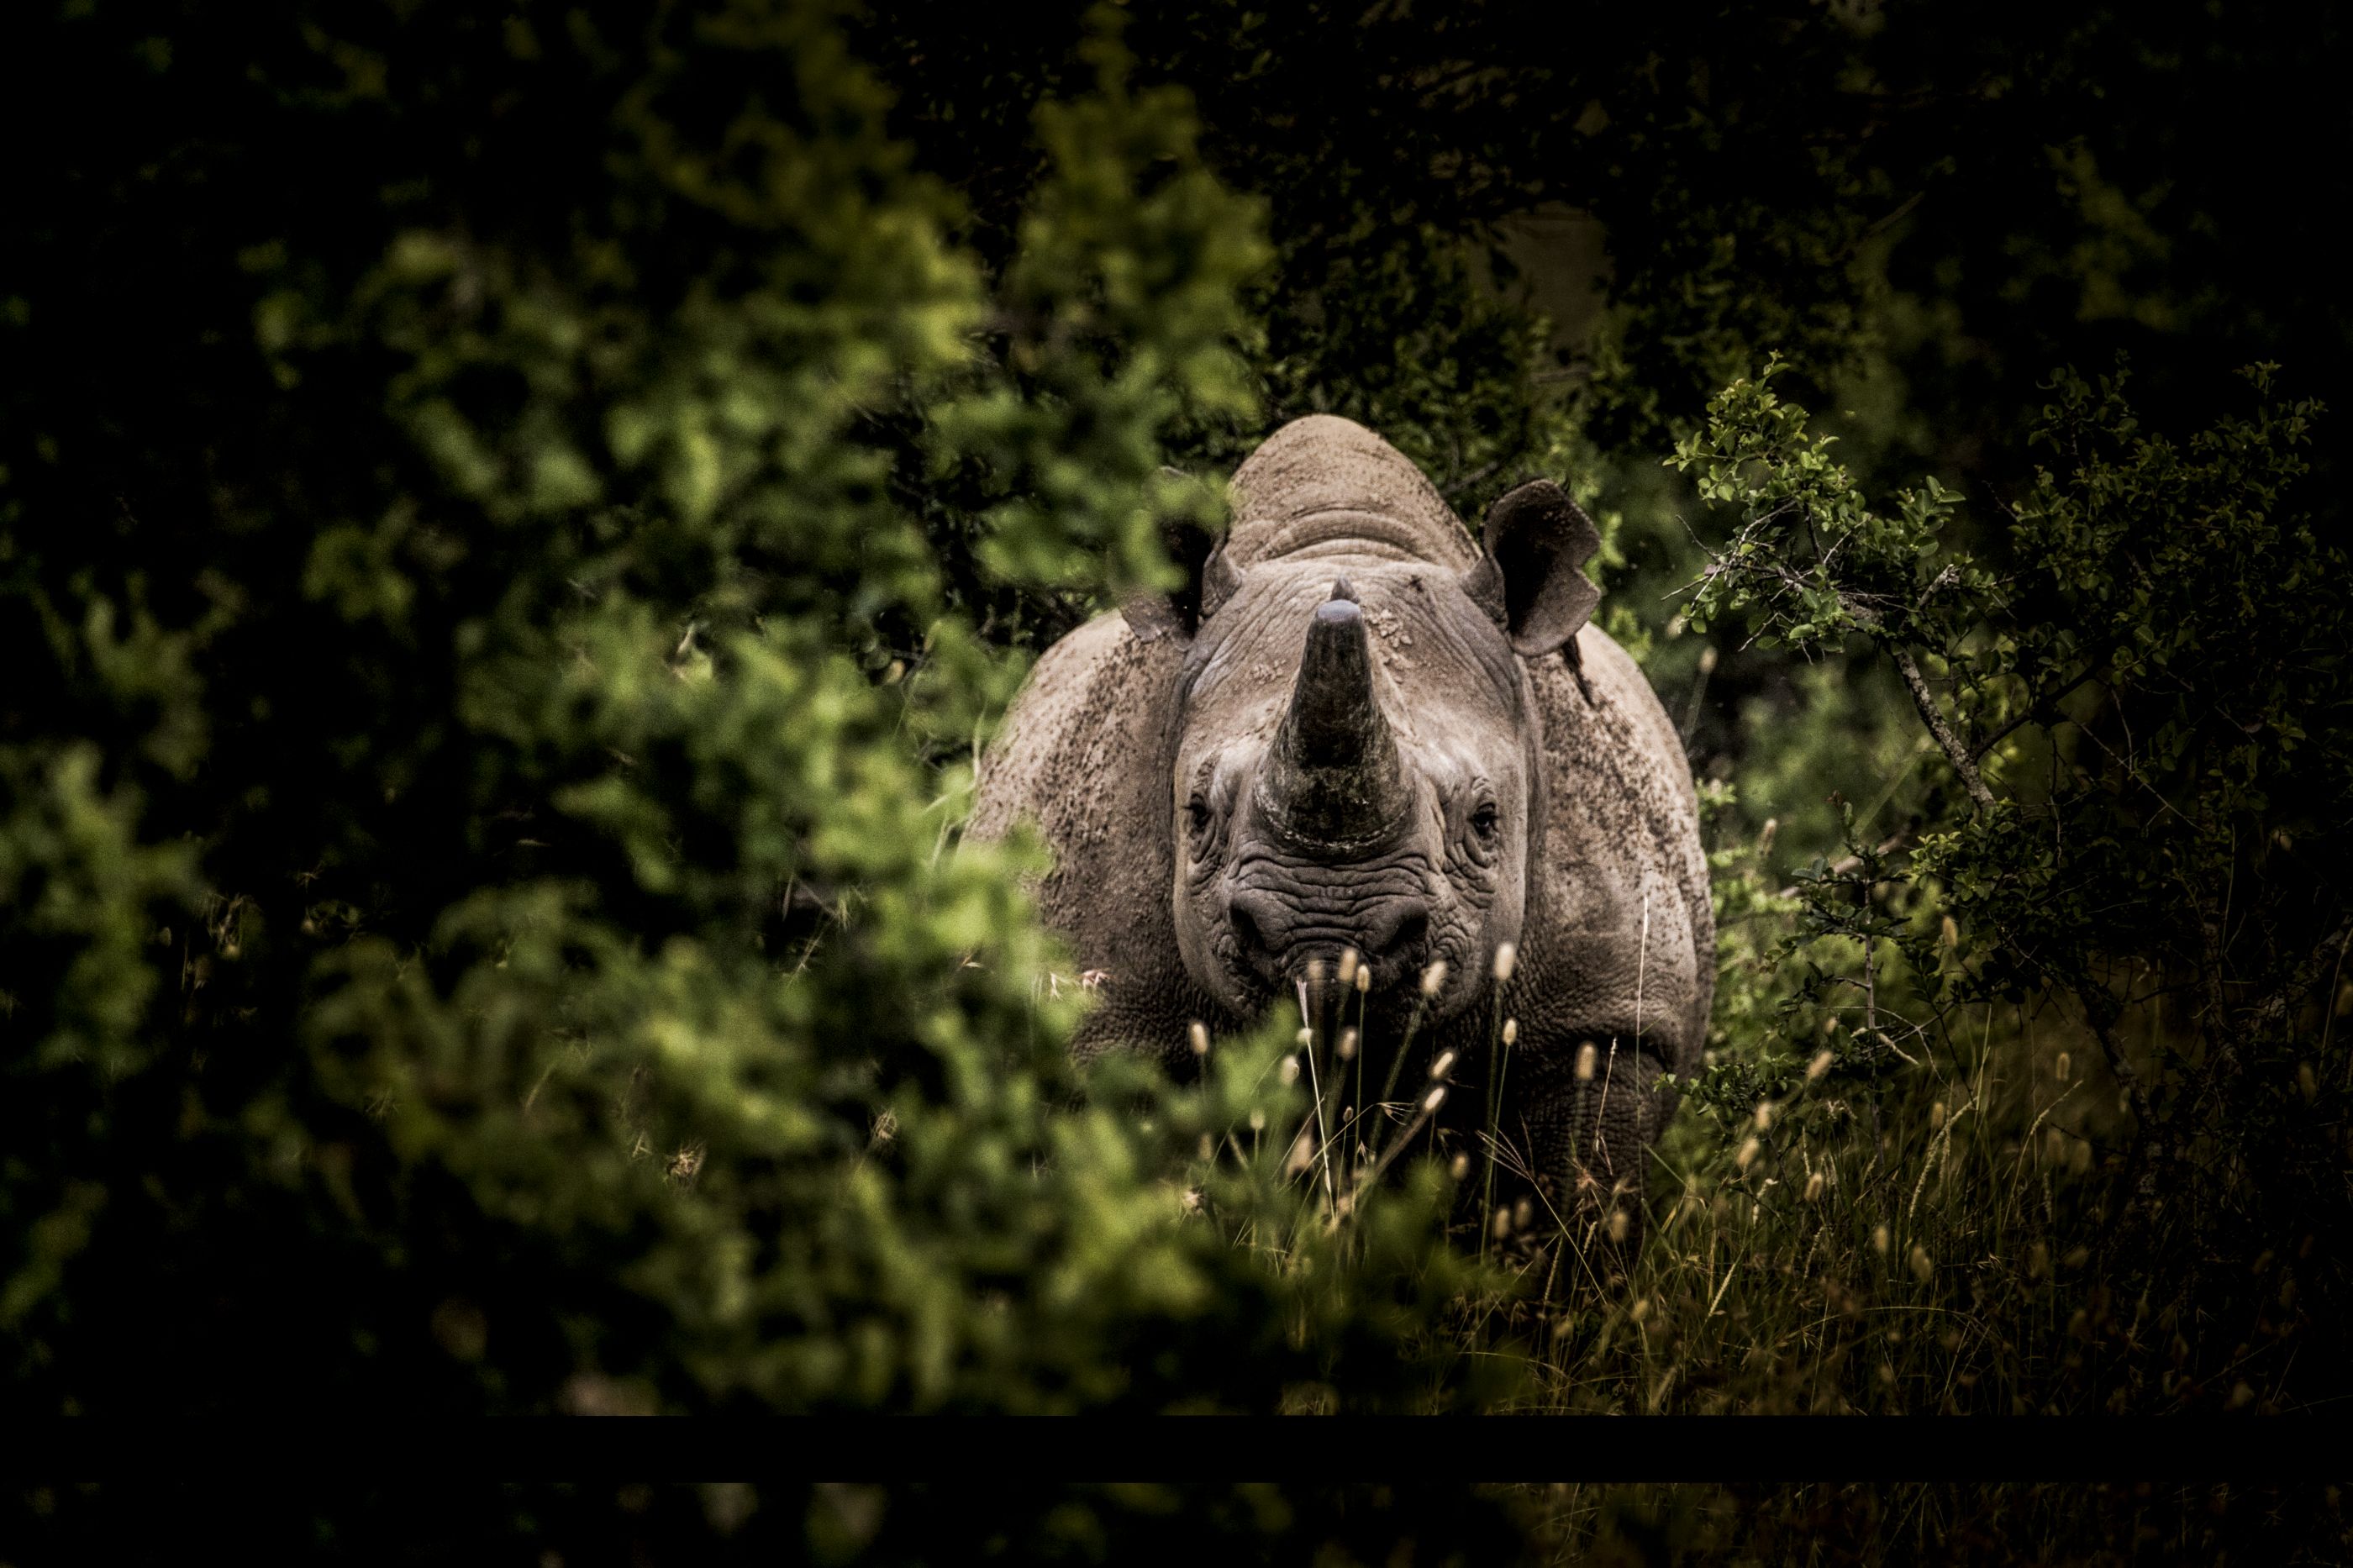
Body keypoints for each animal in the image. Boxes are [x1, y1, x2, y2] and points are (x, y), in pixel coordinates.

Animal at [967, 415, 1711, 1245]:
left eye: (1486, 821)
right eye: (1197, 814)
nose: (1325, 940)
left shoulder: (1605, 1020)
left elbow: (1575, 1206)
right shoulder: (1106, 1020)